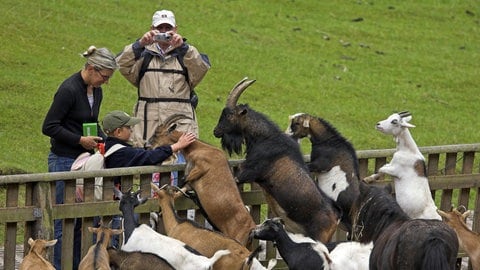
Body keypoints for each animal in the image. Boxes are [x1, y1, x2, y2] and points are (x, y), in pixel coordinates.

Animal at [148, 114, 256, 249]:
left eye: (157, 133)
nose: (148, 146)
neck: (200, 148)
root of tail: (251, 229)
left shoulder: (202, 167)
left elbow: (184, 180)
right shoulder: (191, 183)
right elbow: (181, 190)